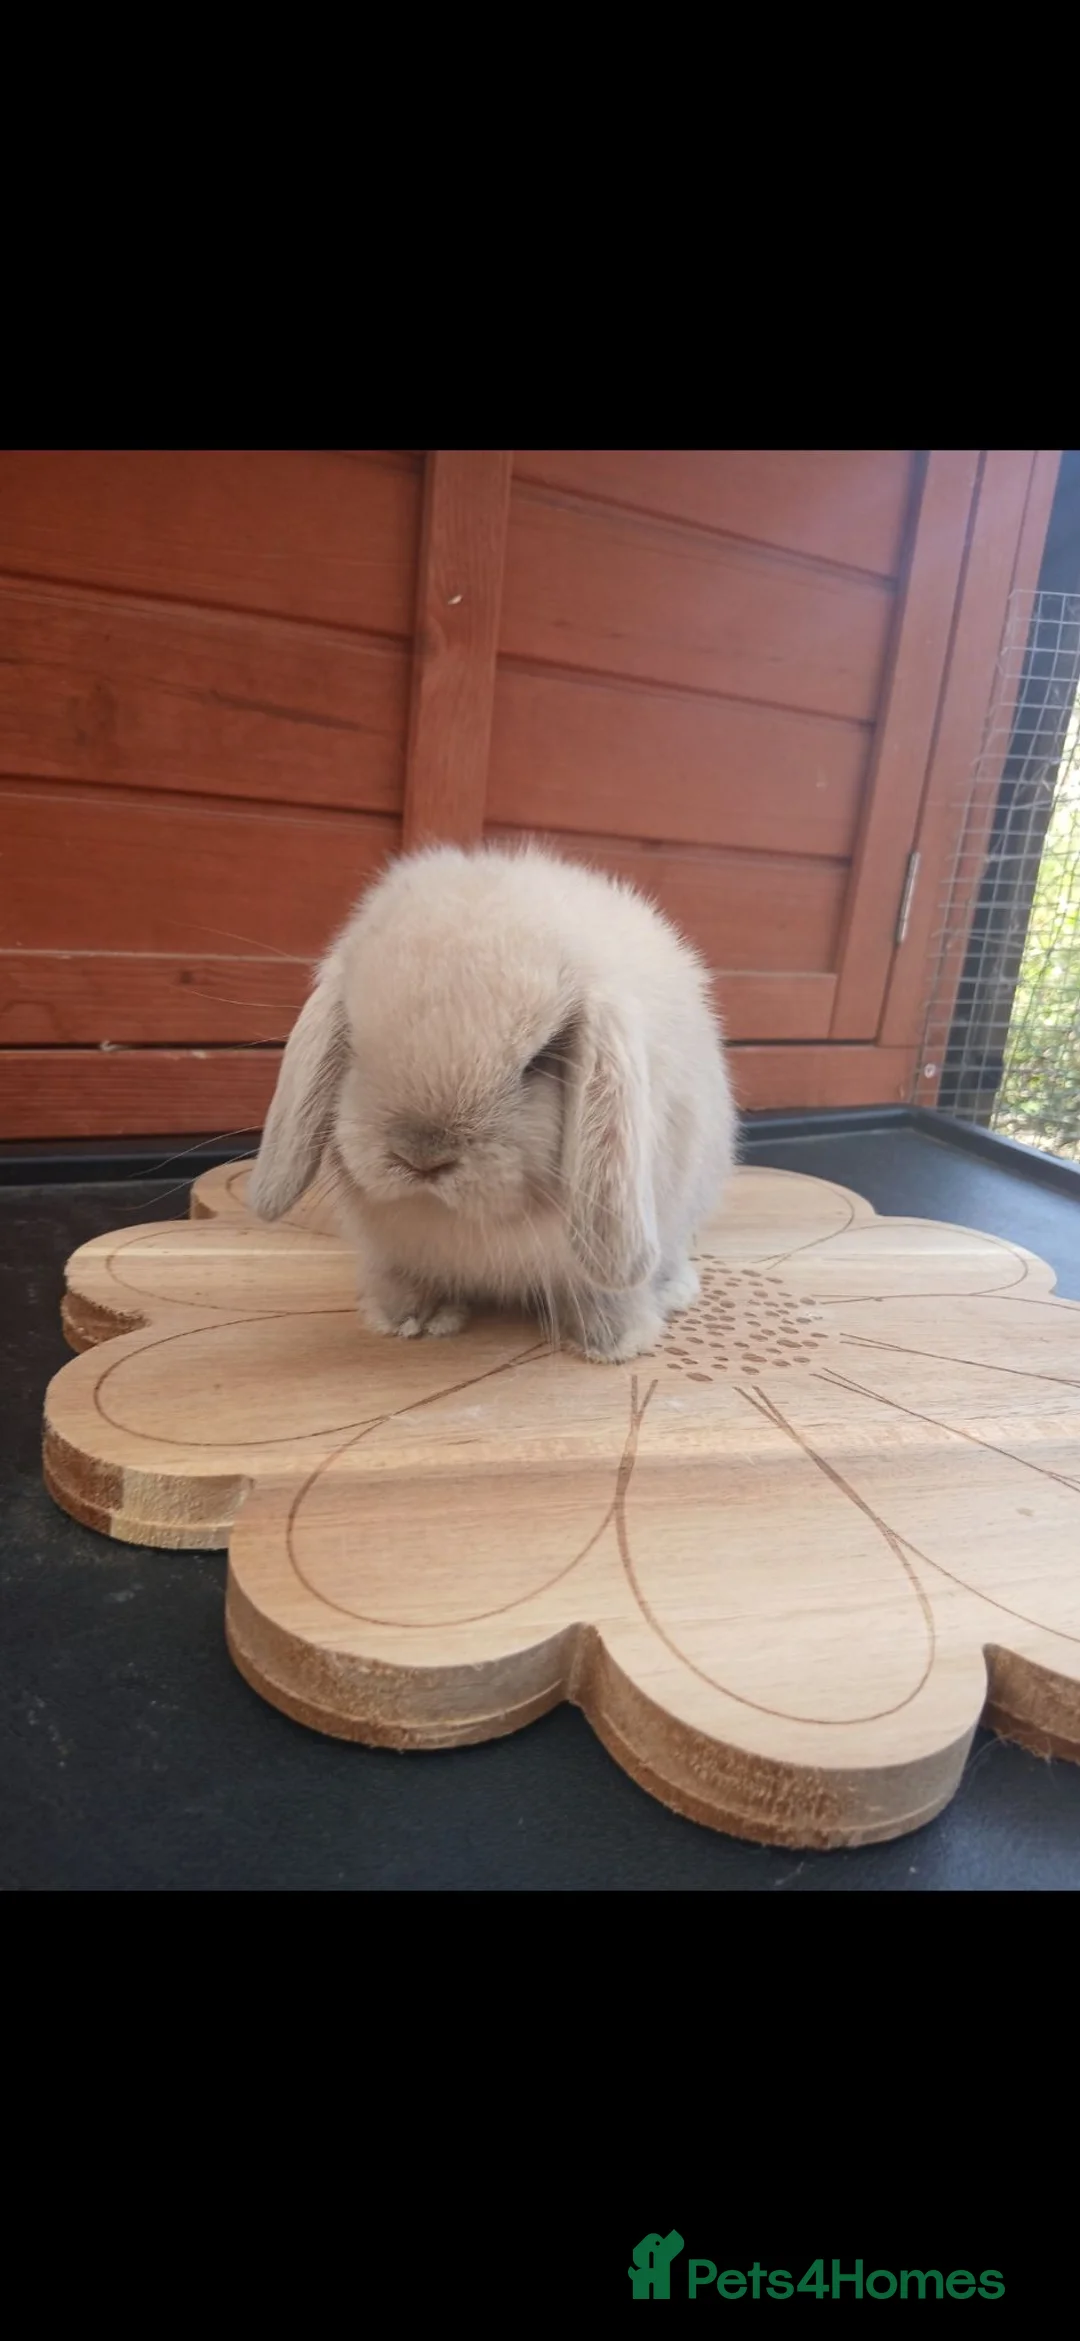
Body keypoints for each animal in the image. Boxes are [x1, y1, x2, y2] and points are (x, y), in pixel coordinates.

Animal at [248, 842, 737, 1363]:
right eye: (354, 1042)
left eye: (540, 1060)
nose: (421, 1157)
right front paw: (406, 1318)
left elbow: (603, 1292)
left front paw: (612, 1343)